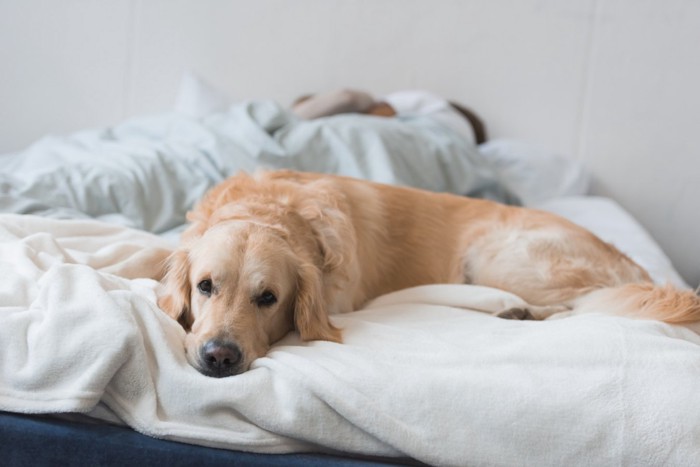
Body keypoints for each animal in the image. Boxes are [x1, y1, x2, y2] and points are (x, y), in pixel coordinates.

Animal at [159, 170, 700, 378]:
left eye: (268, 298)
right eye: (205, 286)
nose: (219, 356)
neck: (280, 210)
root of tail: (631, 262)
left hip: (498, 255)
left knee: (585, 306)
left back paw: (520, 312)